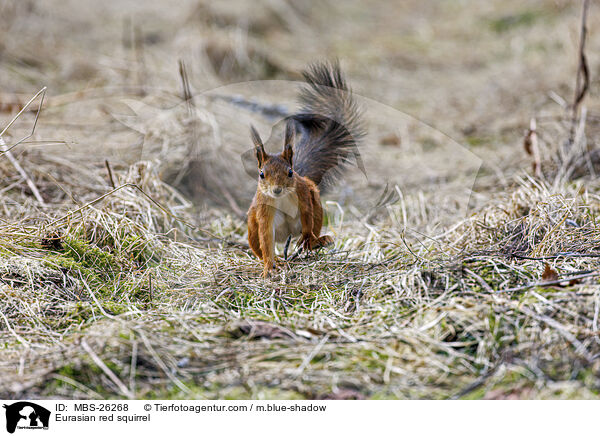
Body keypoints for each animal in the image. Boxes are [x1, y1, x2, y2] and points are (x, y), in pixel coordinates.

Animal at [245, 60, 366, 278]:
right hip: (251, 224)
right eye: (261, 174)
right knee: (260, 245)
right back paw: (277, 261)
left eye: (290, 173)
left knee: (312, 228)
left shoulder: (303, 194)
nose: (277, 190)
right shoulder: (264, 208)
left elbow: (307, 216)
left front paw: (309, 238)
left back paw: (317, 241)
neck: (282, 198)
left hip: (316, 203)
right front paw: (268, 267)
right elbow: (266, 237)